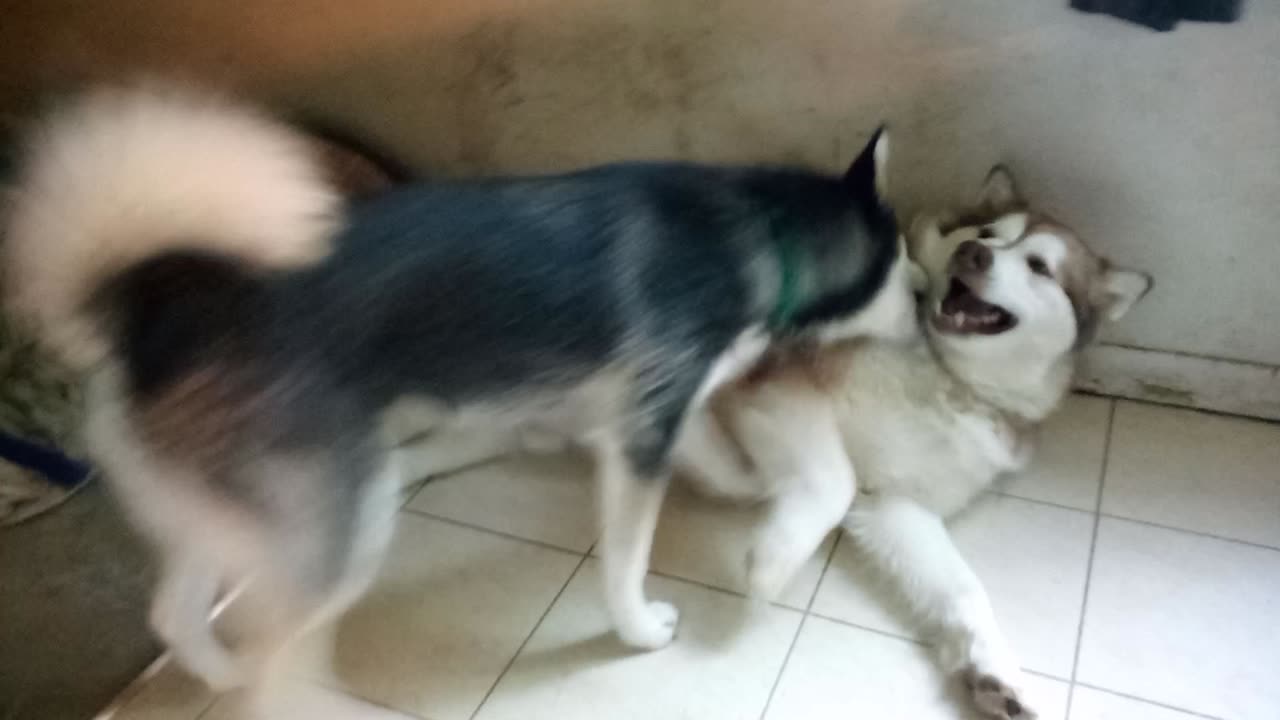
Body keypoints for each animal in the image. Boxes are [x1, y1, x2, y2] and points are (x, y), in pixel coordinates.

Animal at [0, 83, 921, 691]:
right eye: (909, 280)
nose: (924, 321)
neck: (761, 233)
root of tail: (153, 316)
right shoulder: (638, 438)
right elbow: (625, 559)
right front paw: (636, 628)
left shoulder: (657, 415)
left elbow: (726, 466)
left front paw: (756, 499)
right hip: (341, 522)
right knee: (278, 659)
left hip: (224, 510)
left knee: (177, 616)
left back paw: (215, 668)